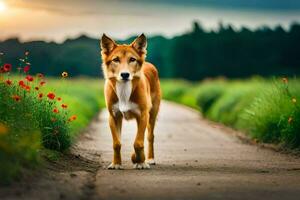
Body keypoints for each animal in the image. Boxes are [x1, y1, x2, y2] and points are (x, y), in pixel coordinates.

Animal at [100, 33, 162, 170]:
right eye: (116, 59)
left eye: (132, 59)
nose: (125, 74)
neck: (124, 89)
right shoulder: (113, 116)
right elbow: (117, 143)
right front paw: (116, 163)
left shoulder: (143, 115)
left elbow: (138, 143)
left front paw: (139, 160)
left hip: (152, 113)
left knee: (150, 136)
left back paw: (150, 158)